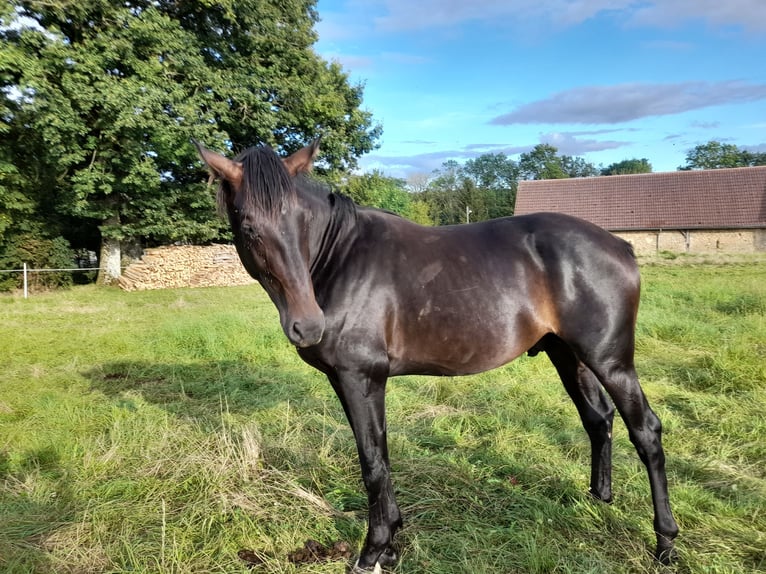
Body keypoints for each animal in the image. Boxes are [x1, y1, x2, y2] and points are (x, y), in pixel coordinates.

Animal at [196, 138, 680, 572]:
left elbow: (372, 462)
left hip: (611, 361)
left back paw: (666, 543)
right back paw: (599, 500)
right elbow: (379, 453)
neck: (340, 258)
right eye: (249, 226)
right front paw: (392, 542)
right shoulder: (352, 380)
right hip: (568, 355)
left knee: (646, 431)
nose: (308, 325)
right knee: (598, 419)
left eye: (301, 223)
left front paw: (373, 551)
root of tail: (621, 247)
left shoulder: (360, 377)